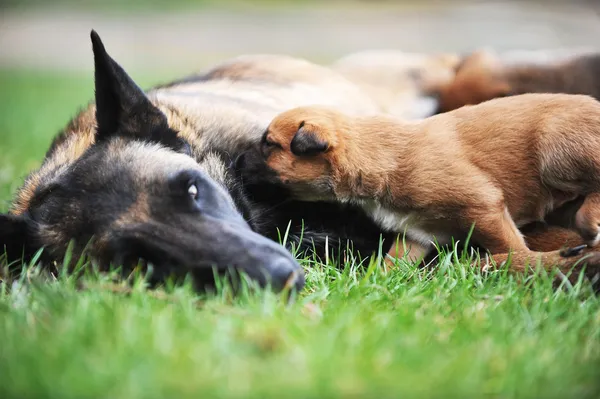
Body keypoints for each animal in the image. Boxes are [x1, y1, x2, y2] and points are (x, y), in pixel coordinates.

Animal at [239, 92, 600, 282]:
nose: (237, 158)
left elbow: (509, 246)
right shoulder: (416, 236)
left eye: (270, 144)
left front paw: (519, 265)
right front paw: (372, 283)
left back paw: (588, 222)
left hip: (556, 146)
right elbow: (390, 262)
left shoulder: (484, 207)